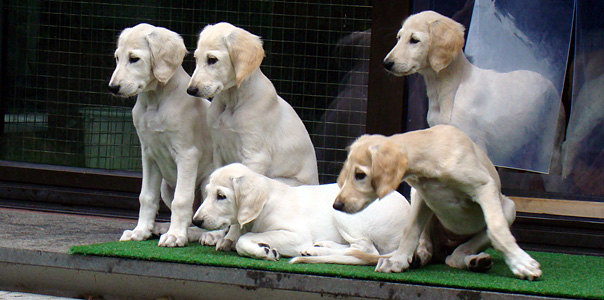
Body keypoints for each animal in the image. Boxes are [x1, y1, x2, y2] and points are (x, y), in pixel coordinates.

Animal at [107, 23, 214, 247]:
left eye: (134, 59)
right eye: (117, 58)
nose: (113, 88)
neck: (154, 103)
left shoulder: (187, 154)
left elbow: (181, 200)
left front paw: (176, 236)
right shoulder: (148, 155)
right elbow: (146, 197)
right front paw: (140, 231)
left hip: (208, 180)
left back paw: (202, 235)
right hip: (166, 185)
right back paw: (164, 228)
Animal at [186, 23, 318, 186]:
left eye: (212, 59)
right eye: (196, 58)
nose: (191, 90)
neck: (232, 101)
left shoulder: (255, 156)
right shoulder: (218, 150)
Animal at [193, 163, 410, 264]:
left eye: (221, 196)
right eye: (208, 191)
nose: (196, 221)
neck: (265, 205)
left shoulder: (296, 235)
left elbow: (244, 239)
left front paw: (264, 250)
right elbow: (237, 235)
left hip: (343, 213)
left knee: (366, 250)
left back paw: (316, 251)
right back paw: (320, 247)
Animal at [336, 123, 544, 278]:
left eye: (360, 175)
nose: (336, 205)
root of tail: (444, 248)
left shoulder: (485, 186)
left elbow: (497, 229)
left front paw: (521, 263)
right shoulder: (422, 196)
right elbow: (411, 230)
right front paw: (397, 259)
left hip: (509, 207)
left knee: (457, 256)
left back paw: (477, 261)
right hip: (419, 202)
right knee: (429, 249)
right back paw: (416, 257)